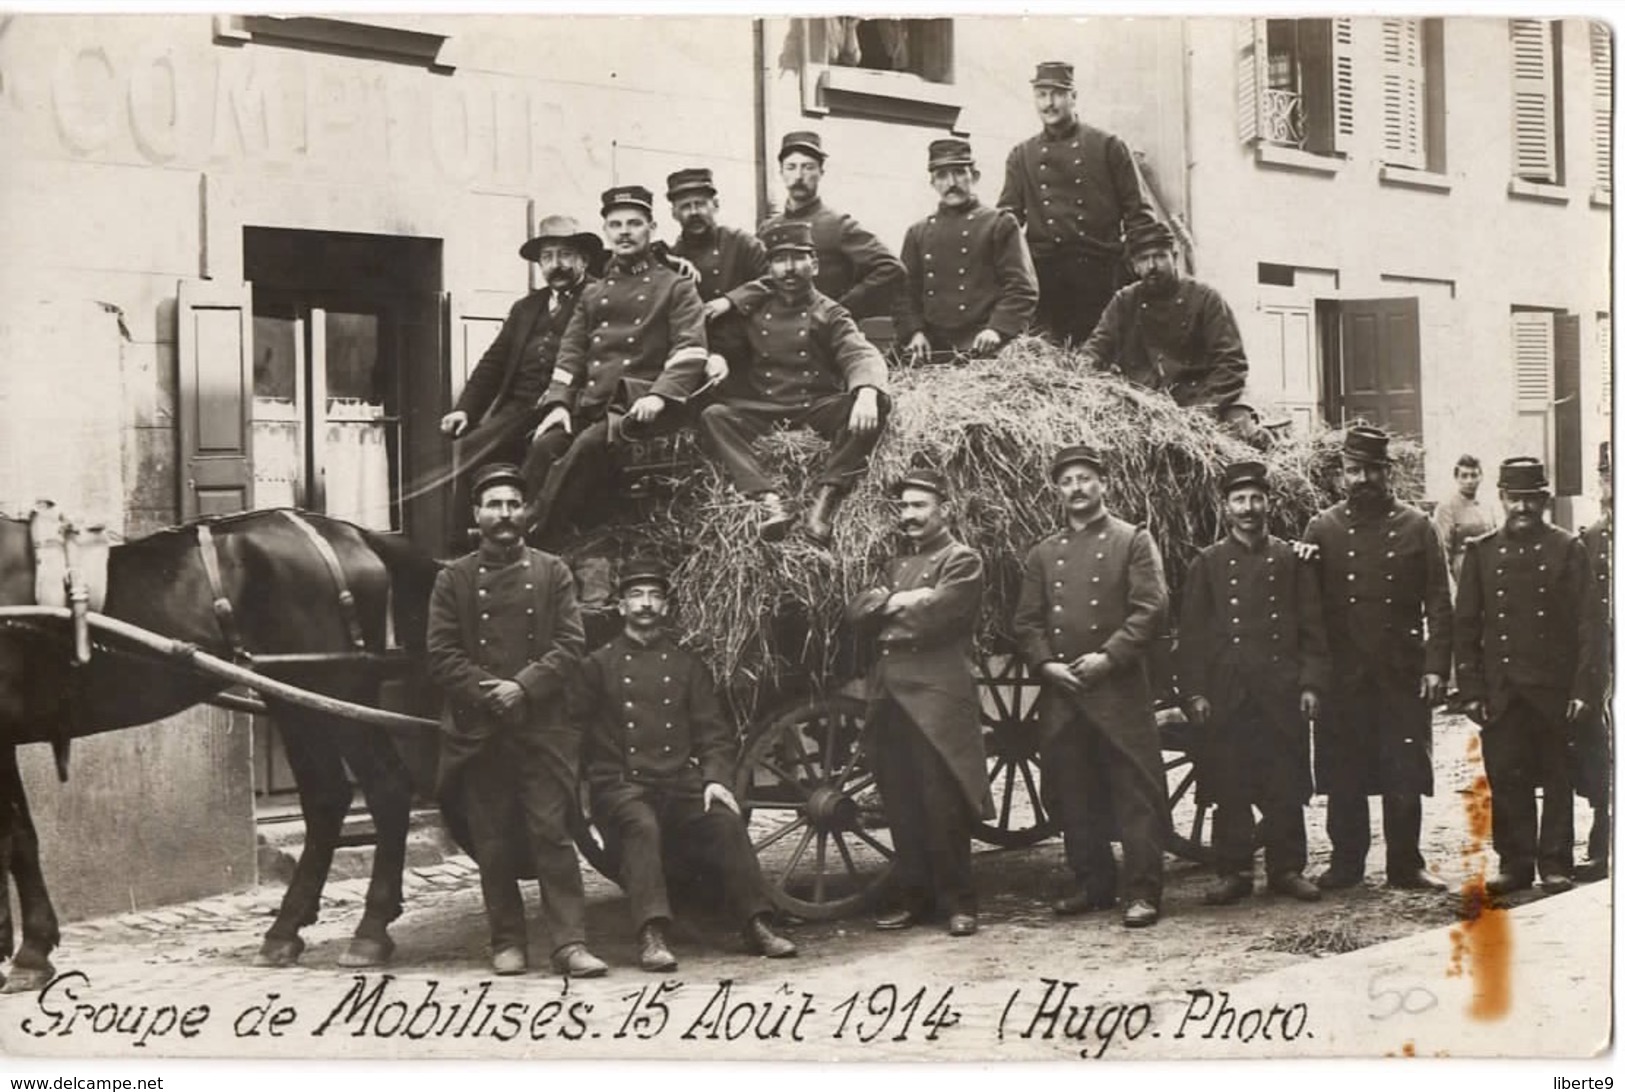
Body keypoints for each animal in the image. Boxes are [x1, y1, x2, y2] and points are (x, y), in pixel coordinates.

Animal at [0, 507, 445, 994]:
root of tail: (351, 532)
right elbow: (16, 839)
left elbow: (17, 839)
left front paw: (30, 951)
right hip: (294, 701)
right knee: (327, 797)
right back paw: (285, 931)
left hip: (335, 691)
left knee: (386, 788)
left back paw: (369, 929)